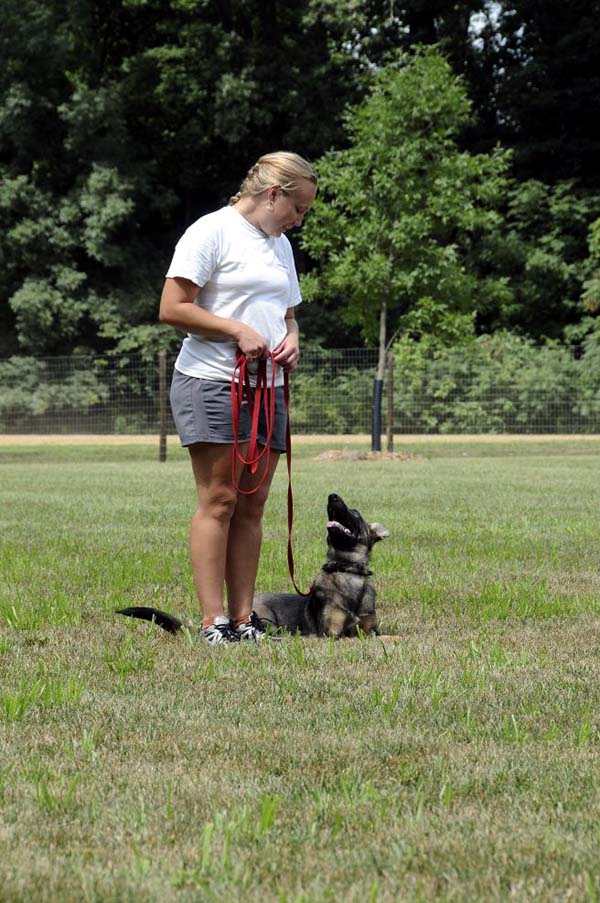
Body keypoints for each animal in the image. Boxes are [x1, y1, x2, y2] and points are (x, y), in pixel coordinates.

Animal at [117, 494, 390, 636]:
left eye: (354, 512)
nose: (332, 496)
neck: (349, 570)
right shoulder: (331, 635)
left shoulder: (370, 630)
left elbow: (384, 637)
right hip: (268, 621)